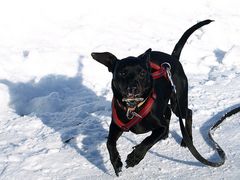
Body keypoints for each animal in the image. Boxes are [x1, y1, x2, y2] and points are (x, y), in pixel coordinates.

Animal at [91, 19, 213, 176]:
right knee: (167, 111)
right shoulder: (117, 125)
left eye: (142, 73)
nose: (133, 88)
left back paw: (186, 140)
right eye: (122, 73)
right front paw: (116, 162)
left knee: (187, 113)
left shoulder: (158, 126)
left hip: (178, 100)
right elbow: (109, 143)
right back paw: (166, 135)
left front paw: (135, 157)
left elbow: (148, 140)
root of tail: (172, 58)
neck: (134, 107)